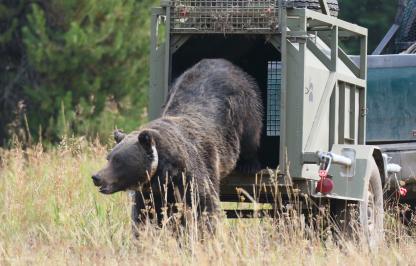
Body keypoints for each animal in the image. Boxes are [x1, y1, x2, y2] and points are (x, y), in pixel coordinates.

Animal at [92, 59, 264, 228]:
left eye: (119, 161)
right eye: (109, 158)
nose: (96, 177)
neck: (165, 172)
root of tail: (224, 61)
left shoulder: (192, 173)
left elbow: (203, 206)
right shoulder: (150, 191)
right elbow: (144, 214)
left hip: (243, 105)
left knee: (251, 134)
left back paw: (249, 165)